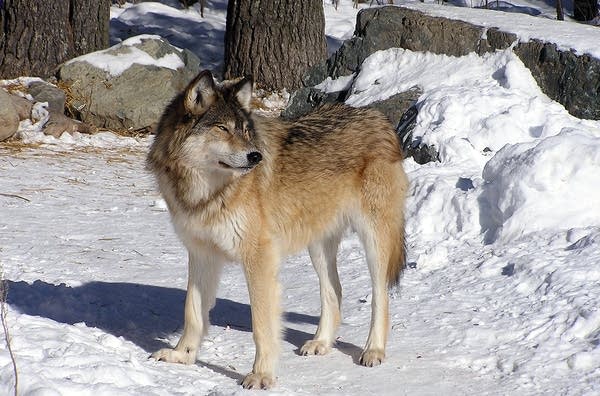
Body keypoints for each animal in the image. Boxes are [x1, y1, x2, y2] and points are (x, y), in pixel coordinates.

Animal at [146, 69, 408, 388]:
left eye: (245, 130)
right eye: (222, 128)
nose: (255, 156)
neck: (207, 193)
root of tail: (378, 117)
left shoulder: (259, 258)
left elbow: (261, 324)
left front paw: (261, 374)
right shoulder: (200, 254)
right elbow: (192, 312)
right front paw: (181, 355)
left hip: (374, 240)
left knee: (380, 296)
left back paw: (373, 350)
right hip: (318, 245)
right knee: (334, 291)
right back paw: (320, 343)